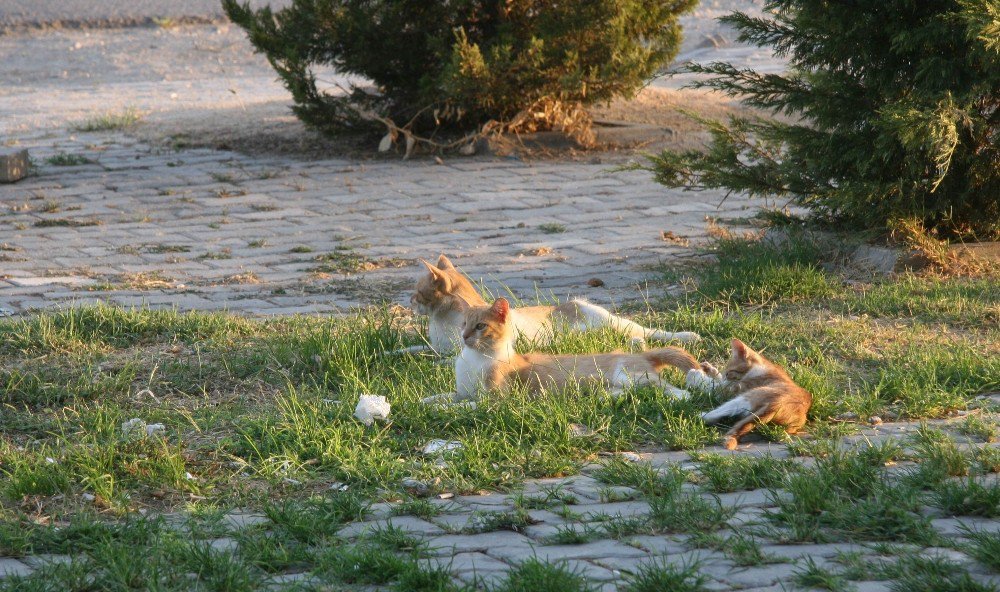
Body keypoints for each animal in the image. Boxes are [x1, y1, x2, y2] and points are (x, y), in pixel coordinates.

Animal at [402, 252, 700, 354]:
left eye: (417, 291)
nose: (409, 300)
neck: (439, 322)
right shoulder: (434, 347)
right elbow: (412, 349)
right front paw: (395, 352)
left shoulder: (449, 353)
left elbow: (428, 355)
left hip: (613, 323)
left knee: (649, 332)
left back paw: (687, 336)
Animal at [450, 298, 700, 400]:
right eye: (463, 323)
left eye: (480, 326)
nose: (464, 336)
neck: (474, 360)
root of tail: (641, 354)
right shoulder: (461, 391)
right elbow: (447, 397)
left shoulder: (495, 397)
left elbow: (469, 405)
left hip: (631, 372)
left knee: (664, 384)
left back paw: (683, 395)